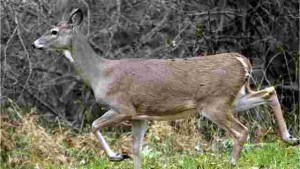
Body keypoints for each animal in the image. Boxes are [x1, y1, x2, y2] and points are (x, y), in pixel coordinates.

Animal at [33, 8, 298, 169]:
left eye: (53, 31)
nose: (36, 43)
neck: (100, 73)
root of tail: (242, 61)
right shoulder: (140, 116)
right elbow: (137, 149)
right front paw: (126, 156)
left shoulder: (124, 107)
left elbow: (94, 125)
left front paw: (116, 156)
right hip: (235, 98)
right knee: (269, 92)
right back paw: (289, 138)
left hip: (215, 103)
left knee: (241, 130)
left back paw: (231, 162)